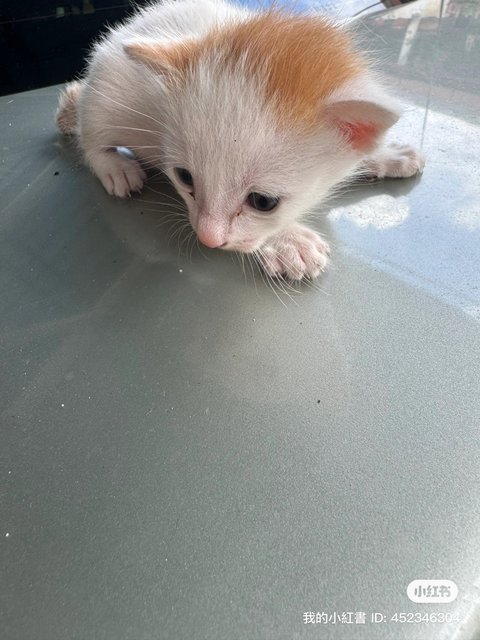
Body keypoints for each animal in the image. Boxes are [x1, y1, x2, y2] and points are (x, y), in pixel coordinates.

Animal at [56, 0, 424, 280]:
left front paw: (387, 155)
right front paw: (289, 241)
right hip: (104, 98)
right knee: (90, 133)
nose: (207, 239)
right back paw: (114, 166)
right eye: (184, 177)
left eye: (263, 202)